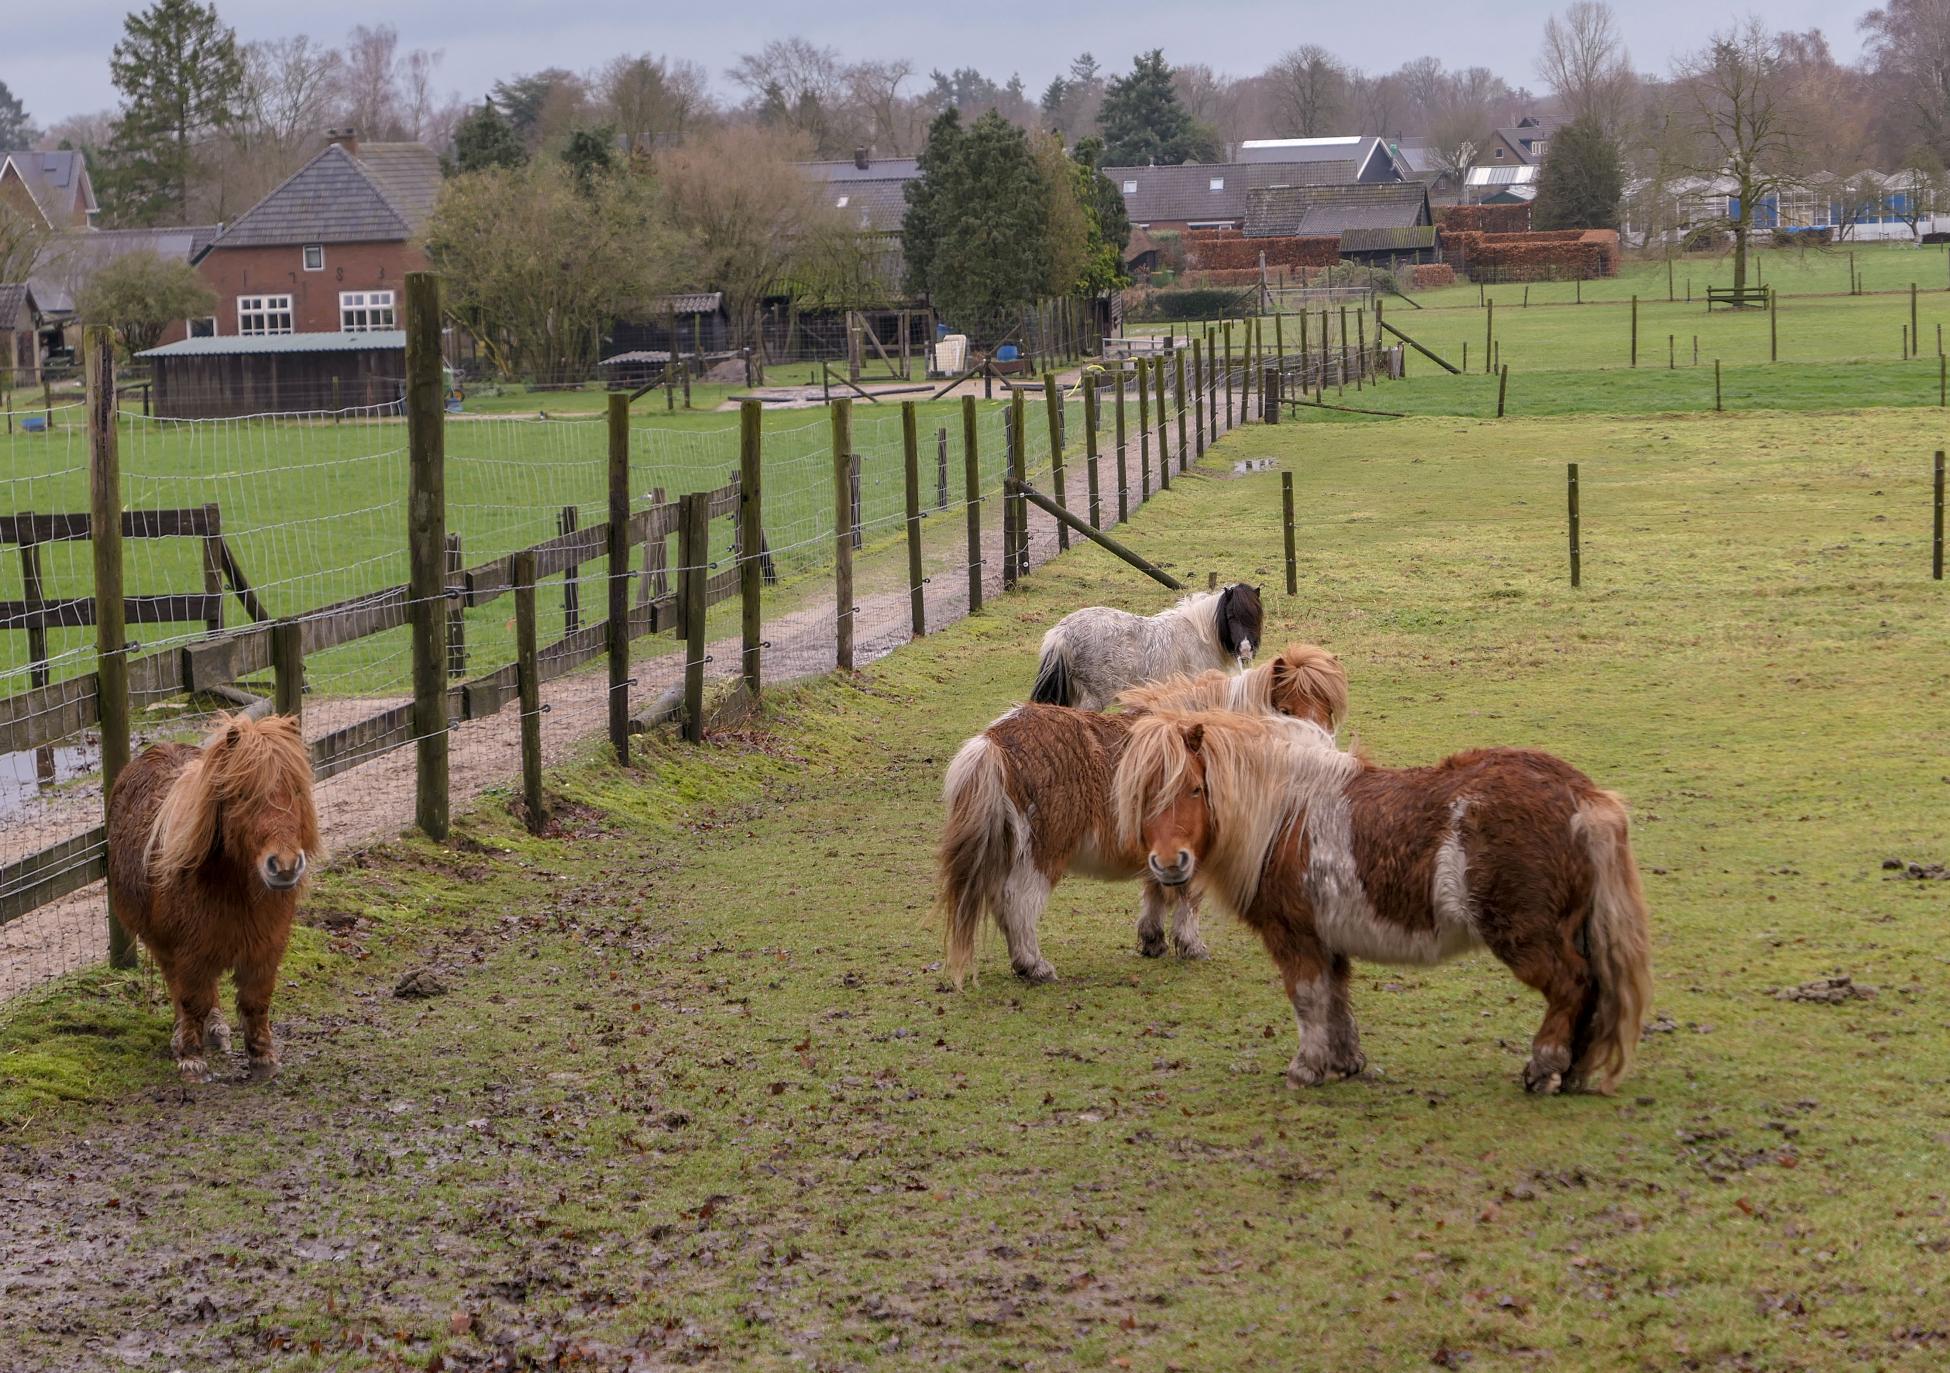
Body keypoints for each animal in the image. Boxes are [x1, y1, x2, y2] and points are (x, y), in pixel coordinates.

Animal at [107, 713, 321, 1076]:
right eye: (244, 794)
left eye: (295, 789)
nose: (285, 866)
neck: (235, 890)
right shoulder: (189, 949)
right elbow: (192, 1000)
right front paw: (191, 1058)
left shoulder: (267, 947)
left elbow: (256, 1000)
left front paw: (263, 1057)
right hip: (164, 943)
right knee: (178, 985)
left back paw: (217, 1029)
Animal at [936, 647, 1349, 986]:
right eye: (1286, 710)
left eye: (1328, 712)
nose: (1322, 757)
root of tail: (994, 742)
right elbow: (1187, 895)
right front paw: (1191, 946)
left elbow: (1157, 888)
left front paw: (1153, 941)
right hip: (1042, 854)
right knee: (1017, 902)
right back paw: (1034, 966)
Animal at [1029, 581, 1271, 713]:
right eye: (1231, 616)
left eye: (1256, 617)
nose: (1246, 650)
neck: (1201, 636)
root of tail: (1062, 632)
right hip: (1093, 700)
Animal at [1123, 709, 1653, 1092]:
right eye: (1142, 795)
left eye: (1195, 788)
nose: (1169, 863)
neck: (1284, 818)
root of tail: (1582, 795)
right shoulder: (1328, 939)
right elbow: (1336, 998)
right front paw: (1344, 1062)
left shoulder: (1295, 937)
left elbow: (1308, 999)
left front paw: (1306, 1068)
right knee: (1594, 993)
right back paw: (1574, 1071)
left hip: (1528, 938)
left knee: (1572, 986)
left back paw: (1544, 1069)